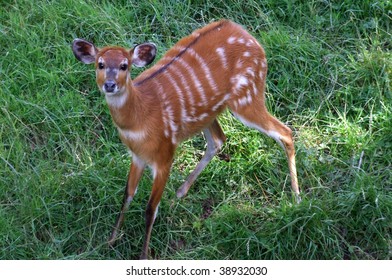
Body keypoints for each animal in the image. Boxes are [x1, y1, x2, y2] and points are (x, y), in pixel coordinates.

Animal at [72, 20, 300, 260]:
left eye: (125, 65)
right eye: (100, 64)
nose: (109, 85)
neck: (139, 118)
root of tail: (253, 40)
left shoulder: (165, 154)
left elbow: (150, 209)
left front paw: (143, 255)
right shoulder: (137, 156)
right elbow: (127, 195)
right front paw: (110, 241)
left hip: (247, 96)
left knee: (285, 132)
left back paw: (296, 199)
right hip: (211, 112)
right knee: (218, 139)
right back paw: (178, 195)